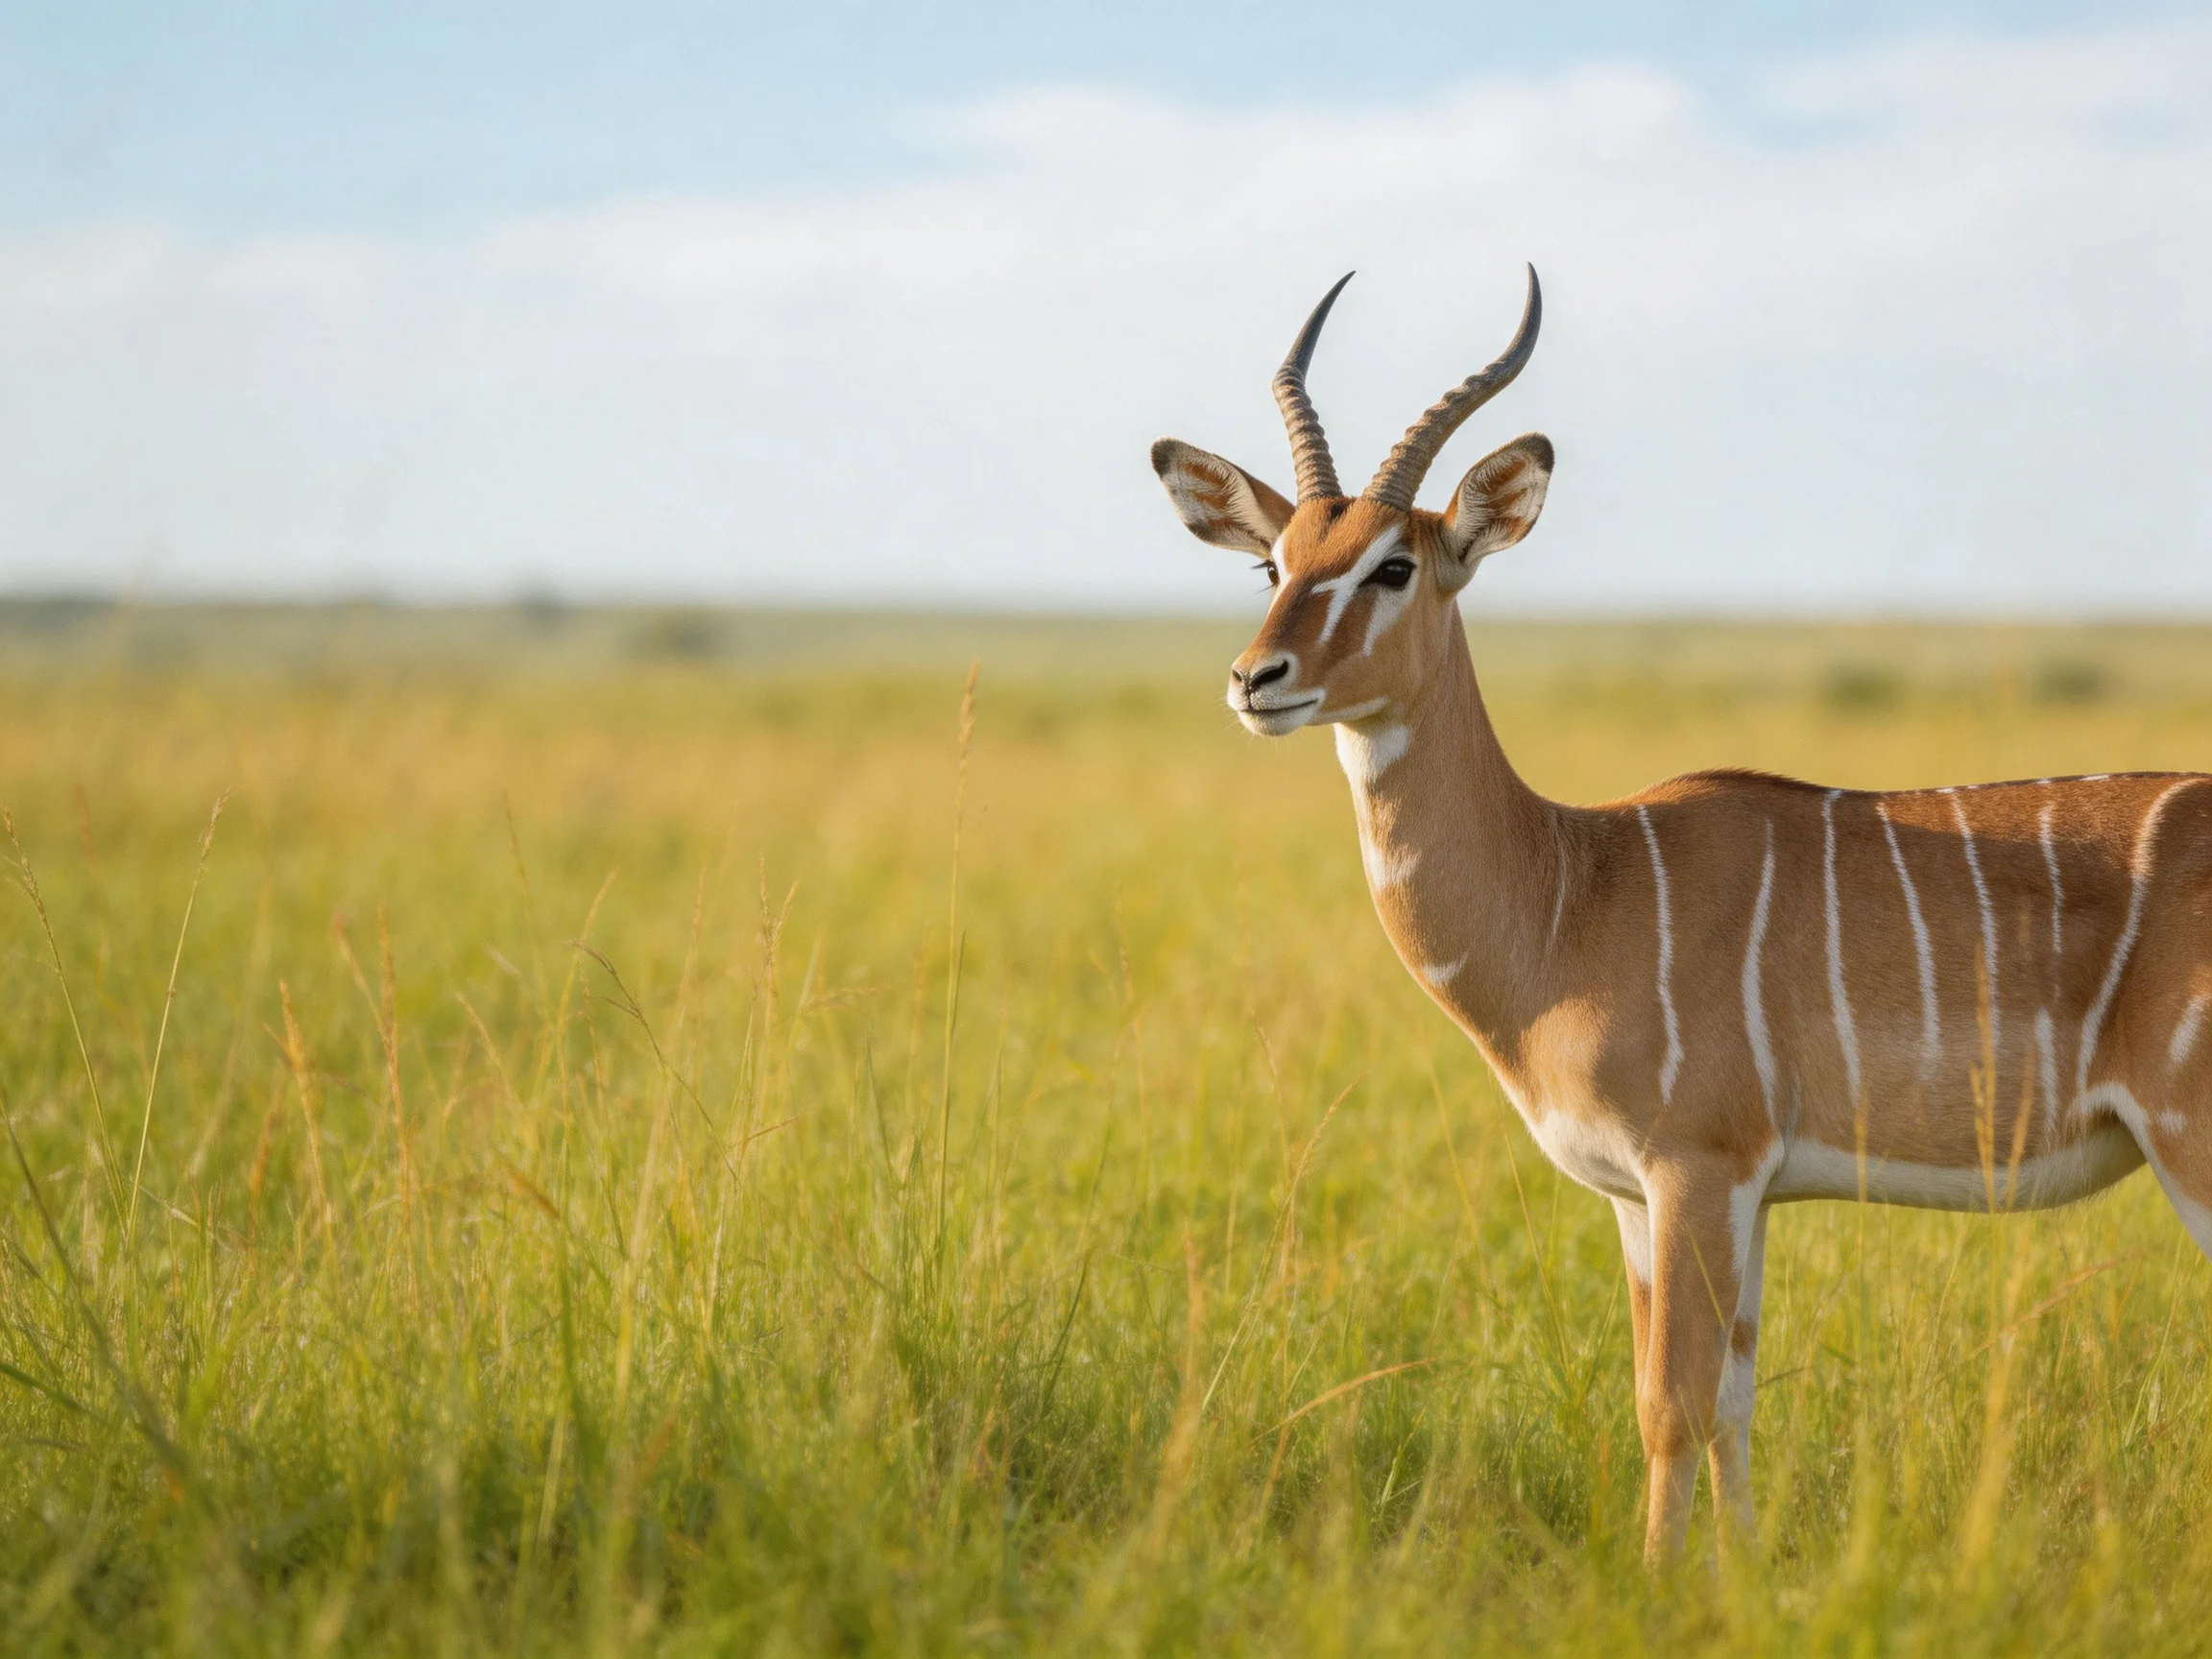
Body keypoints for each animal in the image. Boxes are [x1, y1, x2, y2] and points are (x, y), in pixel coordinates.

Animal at [1150, 268, 2212, 1562]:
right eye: (1277, 563)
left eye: (1394, 565)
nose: (1258, 680)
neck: (1572, 893)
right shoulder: (1668, 1198)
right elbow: (1733, 1399)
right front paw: (1743, 1573)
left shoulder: (1694, 1170)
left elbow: (1672, 1403)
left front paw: (1655, 1582)